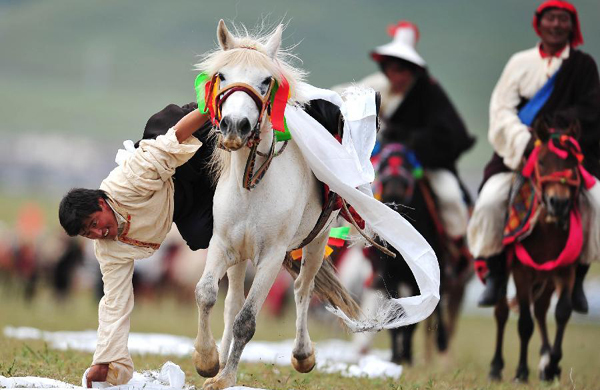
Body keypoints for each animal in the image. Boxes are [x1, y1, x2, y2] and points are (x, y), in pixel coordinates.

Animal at [193, 21, 440, 390]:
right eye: (222, 76)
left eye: (266, 81)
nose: (235, 126)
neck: (253, 186)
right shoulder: (222, 245)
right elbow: (207, 294)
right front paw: (208, 361)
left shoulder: (271, 257)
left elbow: (246, 320)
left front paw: (226, 376)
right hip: (241, 255)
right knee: (232, 299)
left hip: (316, 242)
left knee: (301, 290)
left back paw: (302, 355)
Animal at [492, 117, 592, 382]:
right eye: (542, 162)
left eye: (573, 163)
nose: (558, 202)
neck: (547, 230)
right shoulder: (522, 272)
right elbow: (524, 323)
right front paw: (521, 372)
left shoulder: (565, 271)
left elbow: (562, 312)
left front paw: (551, 364)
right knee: (502, 312)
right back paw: (496, 367)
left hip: (547, 279)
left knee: (540, 310)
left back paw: (547, 361)